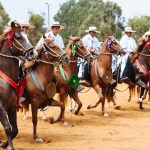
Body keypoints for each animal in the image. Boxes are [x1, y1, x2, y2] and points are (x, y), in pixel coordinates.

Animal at [0, 21, 36, 150]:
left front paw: (3, 144)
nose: (33, 53)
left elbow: (14, 130)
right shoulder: (1, 108)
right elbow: (7, 129)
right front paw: (10, 147)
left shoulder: (11, 107)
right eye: (18, 36)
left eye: (26, 35)